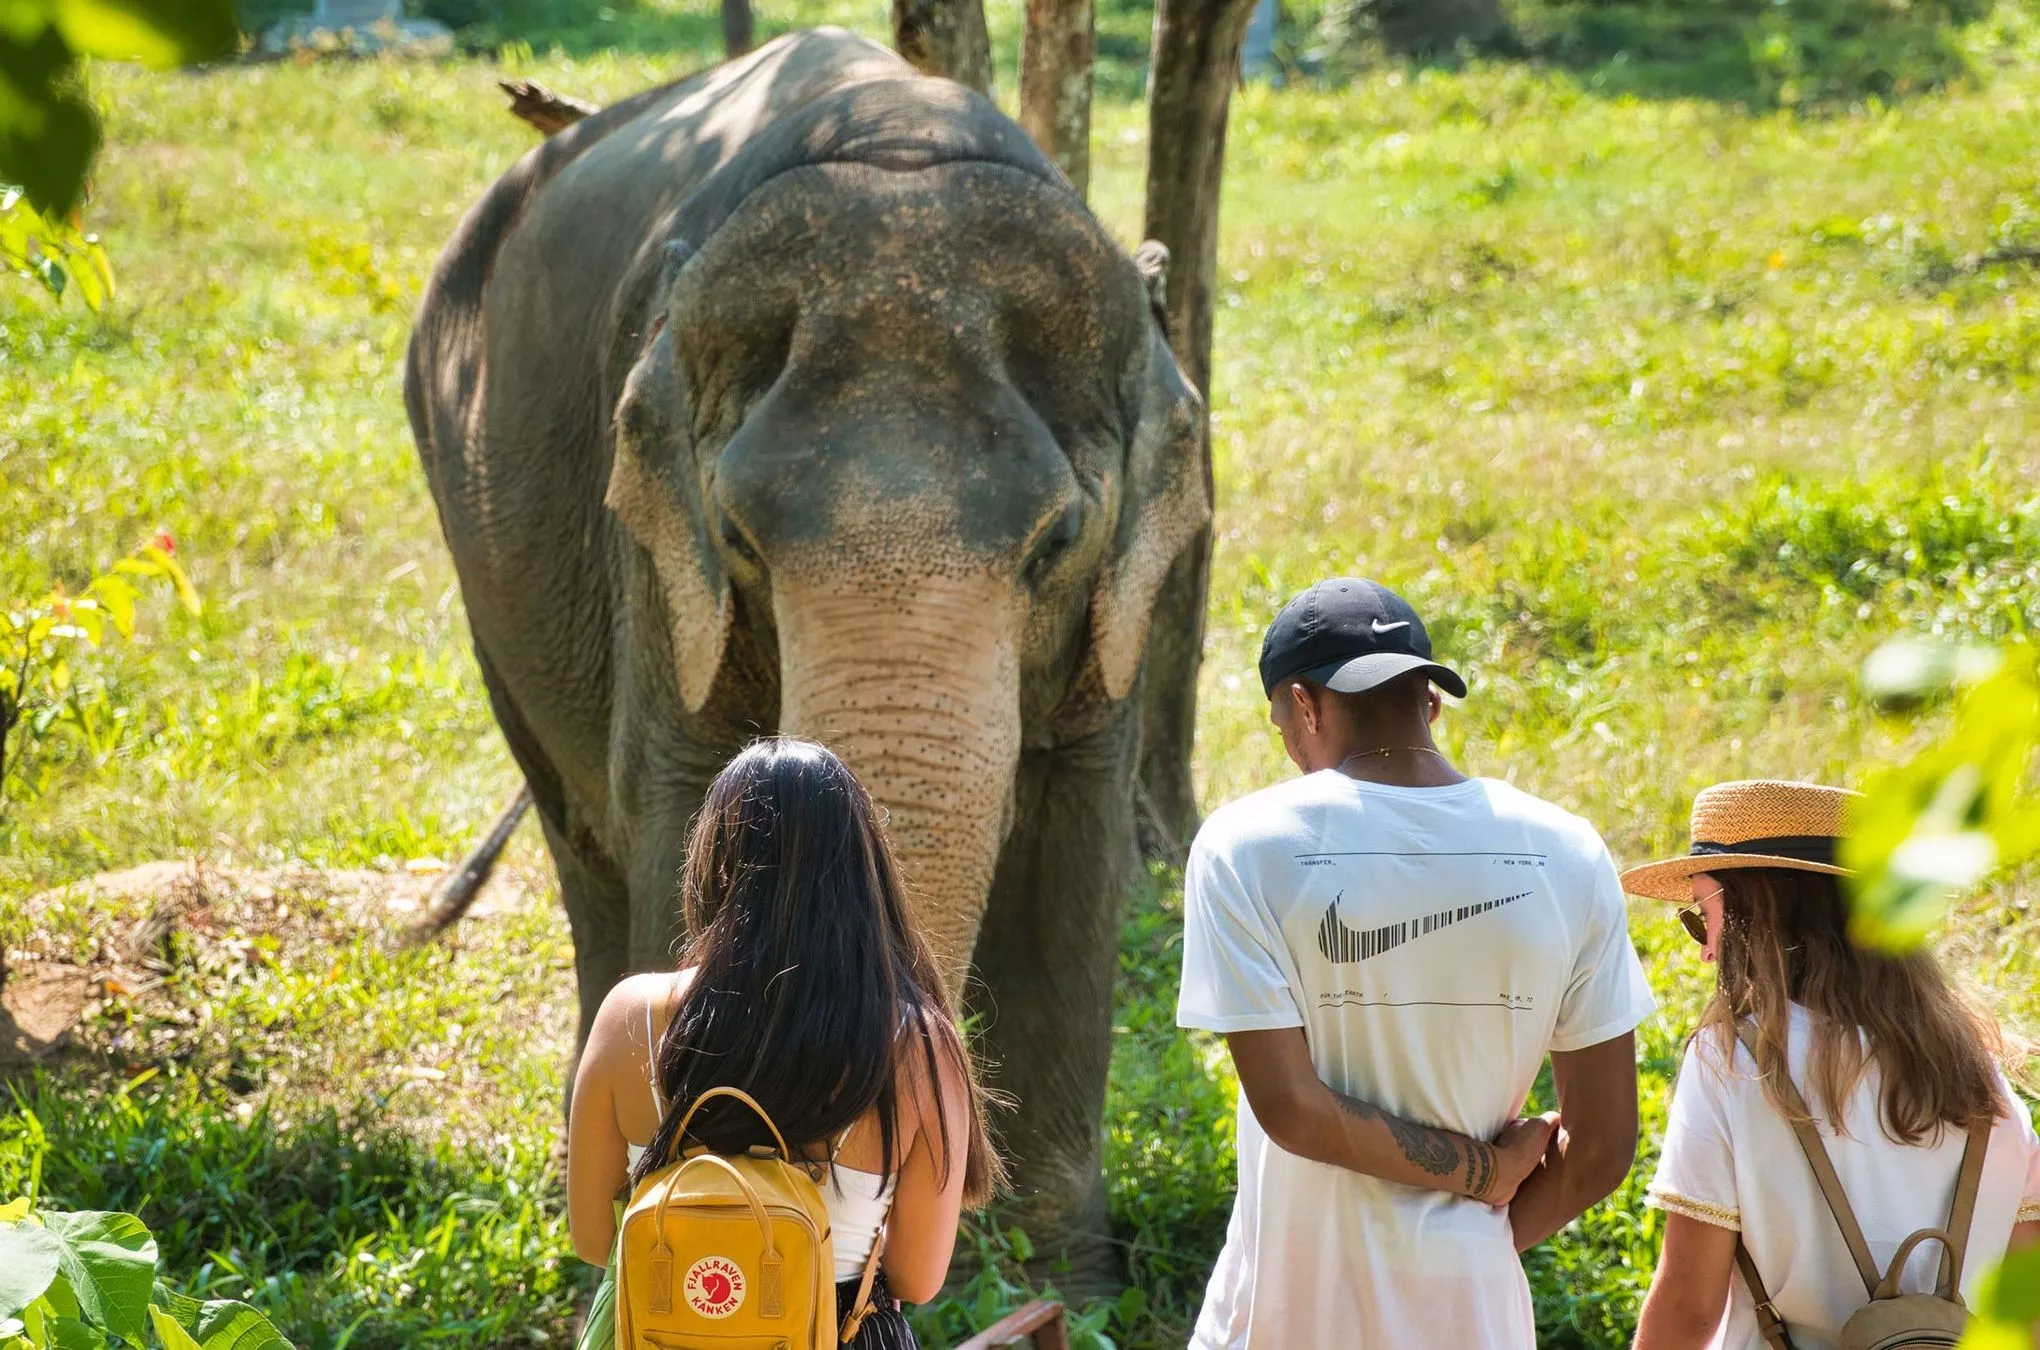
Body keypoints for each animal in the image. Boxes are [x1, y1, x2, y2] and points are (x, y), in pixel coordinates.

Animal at [405, 31, 1215, 1280]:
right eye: (740, 536)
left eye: (1058, 542)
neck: (897, 156)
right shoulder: (655, 554)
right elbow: (679, 800)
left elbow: (1074, 851)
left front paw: (1062, 1282)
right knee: (580, 836)